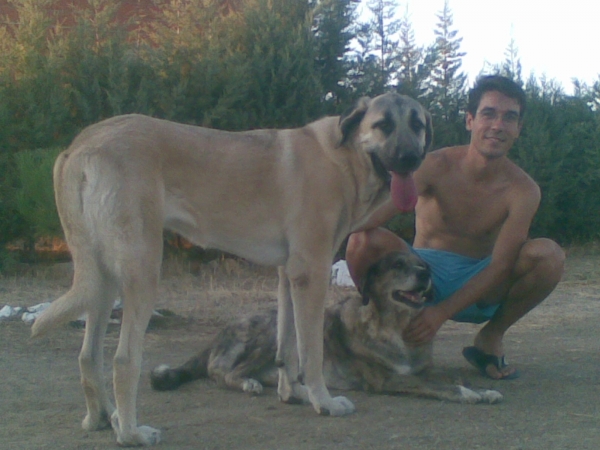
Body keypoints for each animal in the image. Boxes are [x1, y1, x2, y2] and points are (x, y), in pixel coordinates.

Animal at [30, 93, 432, 444]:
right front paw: (324, 401)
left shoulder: (288, 274)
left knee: (88, 356)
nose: (411, 158)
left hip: (103, 278)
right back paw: (131, 433)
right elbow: (311, 350)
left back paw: (103, 418)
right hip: (141, 271)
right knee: (124, 359)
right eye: (383, 125)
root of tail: (80, 143)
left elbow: (287, 346)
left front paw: (292, 393)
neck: (344, 156)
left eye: (417, 124)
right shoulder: (312, 272)